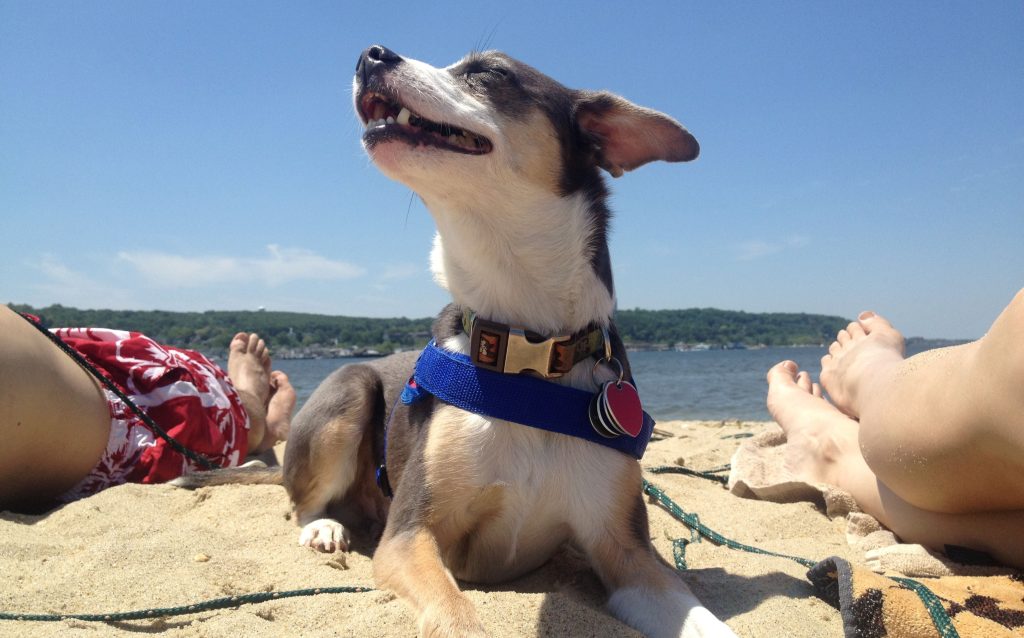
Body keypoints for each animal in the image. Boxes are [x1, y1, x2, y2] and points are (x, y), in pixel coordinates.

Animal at [180, 46, 733, 638]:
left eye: (488, 72)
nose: (371, 54)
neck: (530, 353)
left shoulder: (627, 552)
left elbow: (706, 621)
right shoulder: (409, 535)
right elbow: (457, 616)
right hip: (349, 393)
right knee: (300, 500)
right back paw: (324, 527)